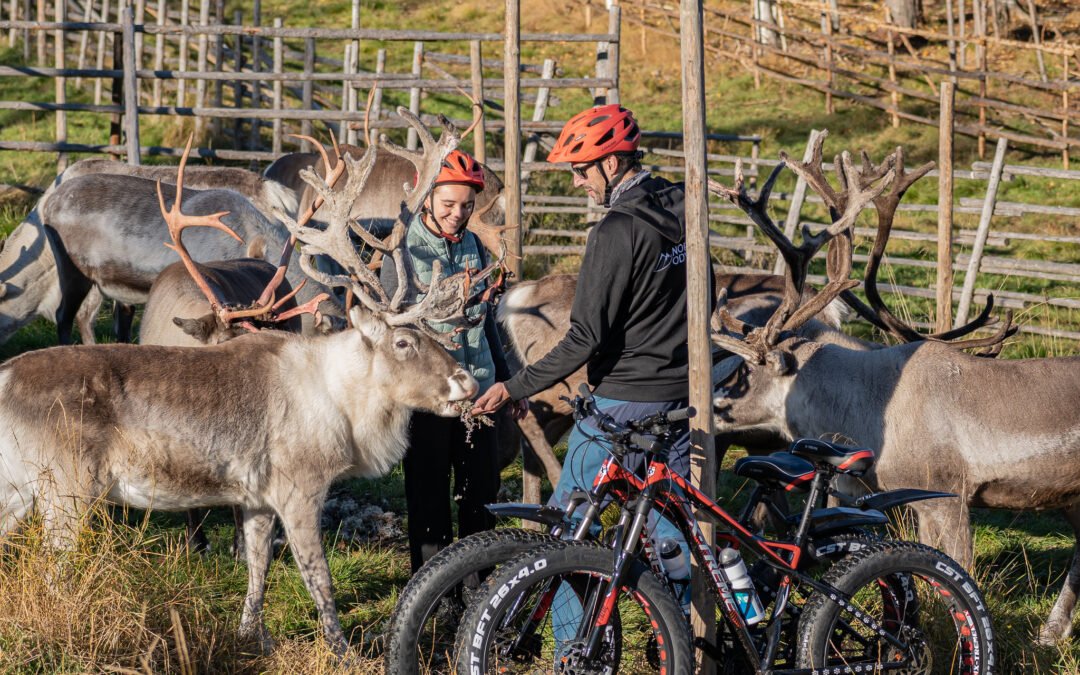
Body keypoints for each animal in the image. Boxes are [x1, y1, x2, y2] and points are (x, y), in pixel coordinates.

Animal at [0, 108, 500, 659]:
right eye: (404, 342)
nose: (465, 382)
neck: (342, 403)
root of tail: (4, 379)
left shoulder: (257, 497)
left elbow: (258, 566)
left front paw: (252, 635)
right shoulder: (299, 488)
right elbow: (318, 579)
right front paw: (341, 649)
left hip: (17, 491)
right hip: (65, 494)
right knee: (53, 572)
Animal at [706, 133, 1080, 645]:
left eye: (750, 367)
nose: (708, 406)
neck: (862, 405)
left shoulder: (949, 494)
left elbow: (958, 573)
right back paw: (1051, 632)